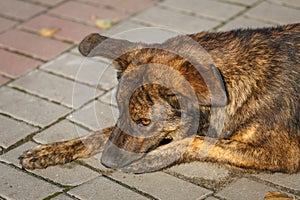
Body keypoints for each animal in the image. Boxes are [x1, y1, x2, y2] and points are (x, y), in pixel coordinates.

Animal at [19, 23, 300, 173]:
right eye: (119, 110)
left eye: (145, 122)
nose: (106, 162)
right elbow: (102, 132)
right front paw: (51, 150)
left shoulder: (283, 155)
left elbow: (194, 141)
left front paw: (152, 158)